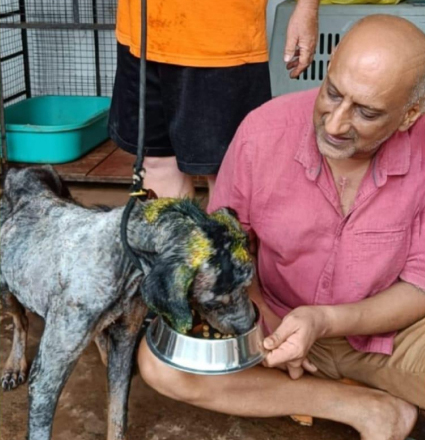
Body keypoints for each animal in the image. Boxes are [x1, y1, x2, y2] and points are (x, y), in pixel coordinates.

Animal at [0, 166, 253, 440]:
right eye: (215, 302)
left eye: (248, 284)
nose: (250, 326)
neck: (121, 258)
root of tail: (18, 170)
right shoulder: (47, 376)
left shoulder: (125, 342)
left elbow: (117, 415)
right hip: (5, 288)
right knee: (20, 319)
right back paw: (14, 365)